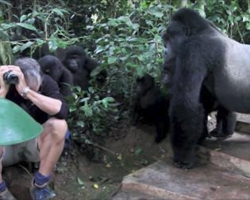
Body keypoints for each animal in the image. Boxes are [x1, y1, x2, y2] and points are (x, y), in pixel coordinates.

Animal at [0, 57, 68, 200]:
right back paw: (4, 194)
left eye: (38, 91)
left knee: (58, 125)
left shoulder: (49, 82)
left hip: (33, 154)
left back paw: (38, 188)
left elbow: (62, 104)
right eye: (20, 95)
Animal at [163, 8, 245, 170]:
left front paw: (183, 157)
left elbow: (185, 106)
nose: (165, 53)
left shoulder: (192, 50)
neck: (201, 30)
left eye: (169, 40)